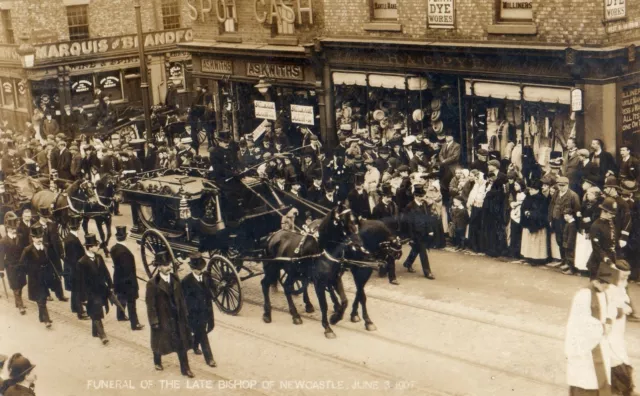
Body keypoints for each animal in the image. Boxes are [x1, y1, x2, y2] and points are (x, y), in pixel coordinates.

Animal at [262, 204, 362, 338]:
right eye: (342, 220)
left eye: (355, 220)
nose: (358, 243)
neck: (322, 250)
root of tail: (273, 235)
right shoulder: (318, 283)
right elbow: (324, 305)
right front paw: (327, 328)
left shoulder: (335, 279)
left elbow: (345, 301)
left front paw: (335, 318)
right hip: (272, 268)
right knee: (265, 284)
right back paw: (267, 314)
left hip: (293, 272)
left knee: (287, 287)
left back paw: (296, 315)